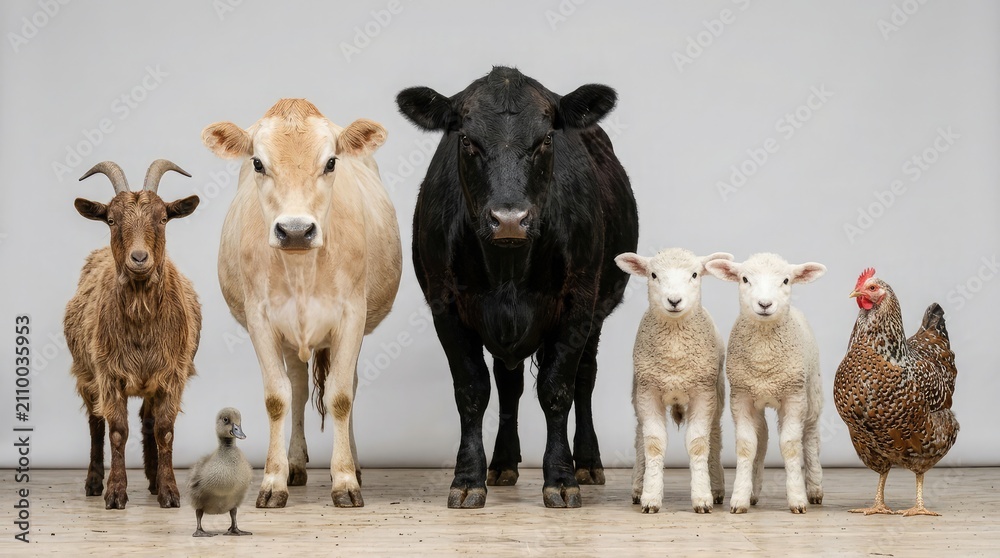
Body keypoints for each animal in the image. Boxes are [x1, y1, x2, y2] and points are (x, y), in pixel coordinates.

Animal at [64, 160, 201, 510]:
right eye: (112, 220)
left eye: (163, 218)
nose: (139, 259)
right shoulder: (108, 374)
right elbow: (116, 431)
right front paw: (114, 493)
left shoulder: (171, 374)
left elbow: (164, 430)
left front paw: (169, 491)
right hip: (86, 374)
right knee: (95, 423)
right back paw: (93, 482)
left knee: (148, 421)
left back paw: (153, 479)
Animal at [201, 99, 402, 508]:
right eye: (258, 163)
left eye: (331, 162)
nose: (295, 230)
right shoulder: (260, 319)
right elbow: (277, 398)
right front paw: (273, 480)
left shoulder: (352, 315)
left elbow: (341, 395)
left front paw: (345, 481)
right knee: (295, 385)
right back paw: (294, 464)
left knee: (348, 384)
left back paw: (355, 463)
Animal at [396, 66, 639, 508]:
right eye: (466, 140)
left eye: (545, 139)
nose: (509, 219)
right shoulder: (446, 304)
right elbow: (473, 390)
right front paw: (468, 478)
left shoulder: (578, 302)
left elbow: (557, 389)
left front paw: (561, 478)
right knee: (508, 384)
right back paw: (503, 463)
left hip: (598, 307)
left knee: (585, 377)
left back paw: (588, 462)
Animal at [616, 249, 732, 514]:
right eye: (653, 275)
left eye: (695, 274)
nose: (674, 300)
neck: (675, 358)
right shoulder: (648, 392)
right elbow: (653, 444)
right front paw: (650, 497)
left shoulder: (702, 392)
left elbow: (699, 443)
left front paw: (702, 498)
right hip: (638, 390)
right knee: (639, 437)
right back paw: (637, 486)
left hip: (717, 392)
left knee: (714, 436)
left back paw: (717, 488)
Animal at [704, 253, 826, 514]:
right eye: (745, 279)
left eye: (786, 280)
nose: (765, 304)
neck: (765, 362)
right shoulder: (741, 397)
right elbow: (747, 446)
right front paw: (739, 498)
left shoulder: (793, 397)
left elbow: (790, 445)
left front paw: (797, 499)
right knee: (762, 439)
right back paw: (753, 491)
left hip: (812, 392)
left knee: (810, 438)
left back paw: (814, 488)